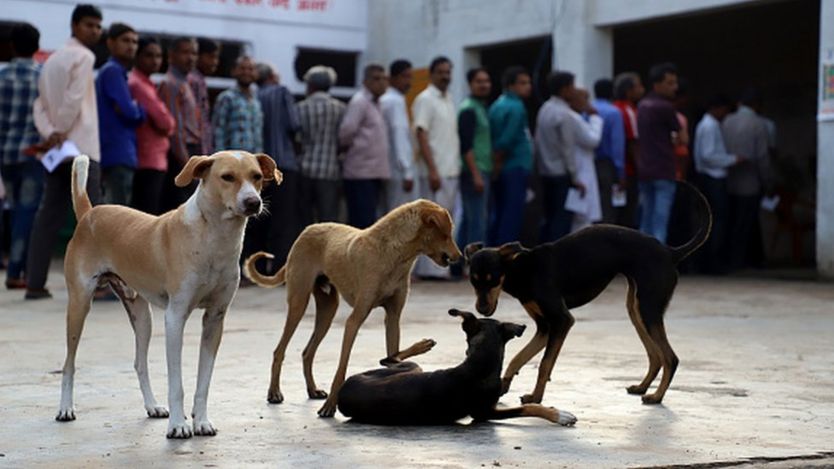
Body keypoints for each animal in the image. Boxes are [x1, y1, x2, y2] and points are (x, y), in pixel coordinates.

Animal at [57, 151, 282, 438]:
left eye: (256, 176)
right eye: (227, 177)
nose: (253, 202)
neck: (212, 237)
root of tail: (90, 213)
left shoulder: (215, 319)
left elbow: (204, 382)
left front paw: (201, 421)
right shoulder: (175, 319)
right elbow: (177, 384)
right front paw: (178, 425)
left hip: (142, 316)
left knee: (139, 363)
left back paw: (153, 406)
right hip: (79, 305)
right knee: (68, 364)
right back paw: (65, 409)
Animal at [240, 199, 462, 414]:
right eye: (446, 234)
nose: (461, 257)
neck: (392, 253)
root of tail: (308, 229)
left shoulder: (393, 317)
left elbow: (394, 355)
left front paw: (420, 347)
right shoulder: (354, 320)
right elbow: (342, 367)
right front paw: (330, 405)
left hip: (327, 310)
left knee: (307, 352)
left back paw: (312, 390)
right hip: (298, 303)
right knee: (279, 351)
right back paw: (274, 392)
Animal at [334, 308, 576, 426]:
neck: (479, 363)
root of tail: (344, 387)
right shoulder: (484, 413)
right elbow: (529, 408)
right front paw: (560, 415)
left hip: (405, 370)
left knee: (387, 359)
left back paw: (423, 344)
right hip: (413, 369)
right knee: (388, 359)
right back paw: (422, 345)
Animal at [464, 181, 712, 404]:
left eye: (493, 280)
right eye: (473, 282)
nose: (481, 309)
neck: (523, 268)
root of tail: (670, 252)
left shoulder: (561, 321)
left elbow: (544, 364)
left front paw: (537, 397)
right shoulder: (545, 327)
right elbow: (518, 357)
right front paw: (505, 385)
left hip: (648, 310)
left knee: (670, 358)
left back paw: (657, 396)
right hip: (637, 310)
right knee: (656, 355)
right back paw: (642, 387)